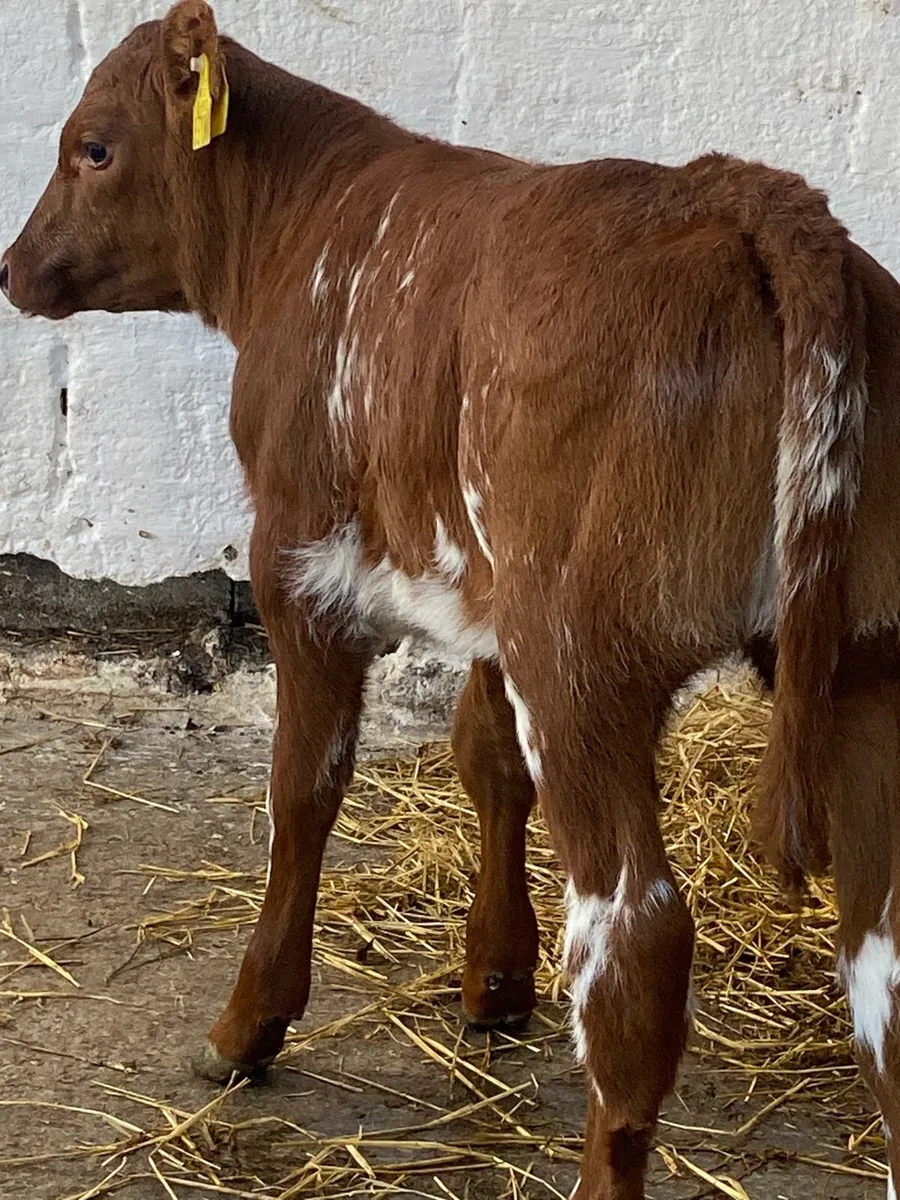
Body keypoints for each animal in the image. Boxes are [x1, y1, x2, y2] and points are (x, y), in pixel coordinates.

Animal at [4, 3, 900, 1196]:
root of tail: (749, 197)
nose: (12, 267)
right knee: (884, 958)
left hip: (583, 660)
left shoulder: (300, 564)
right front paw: (496, 981)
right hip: (864, 659)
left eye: (94, 147)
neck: (306, 227)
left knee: (635, 942)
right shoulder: (480, 589)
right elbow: (485, 758)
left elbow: (303, 788)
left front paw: (250, 1025)